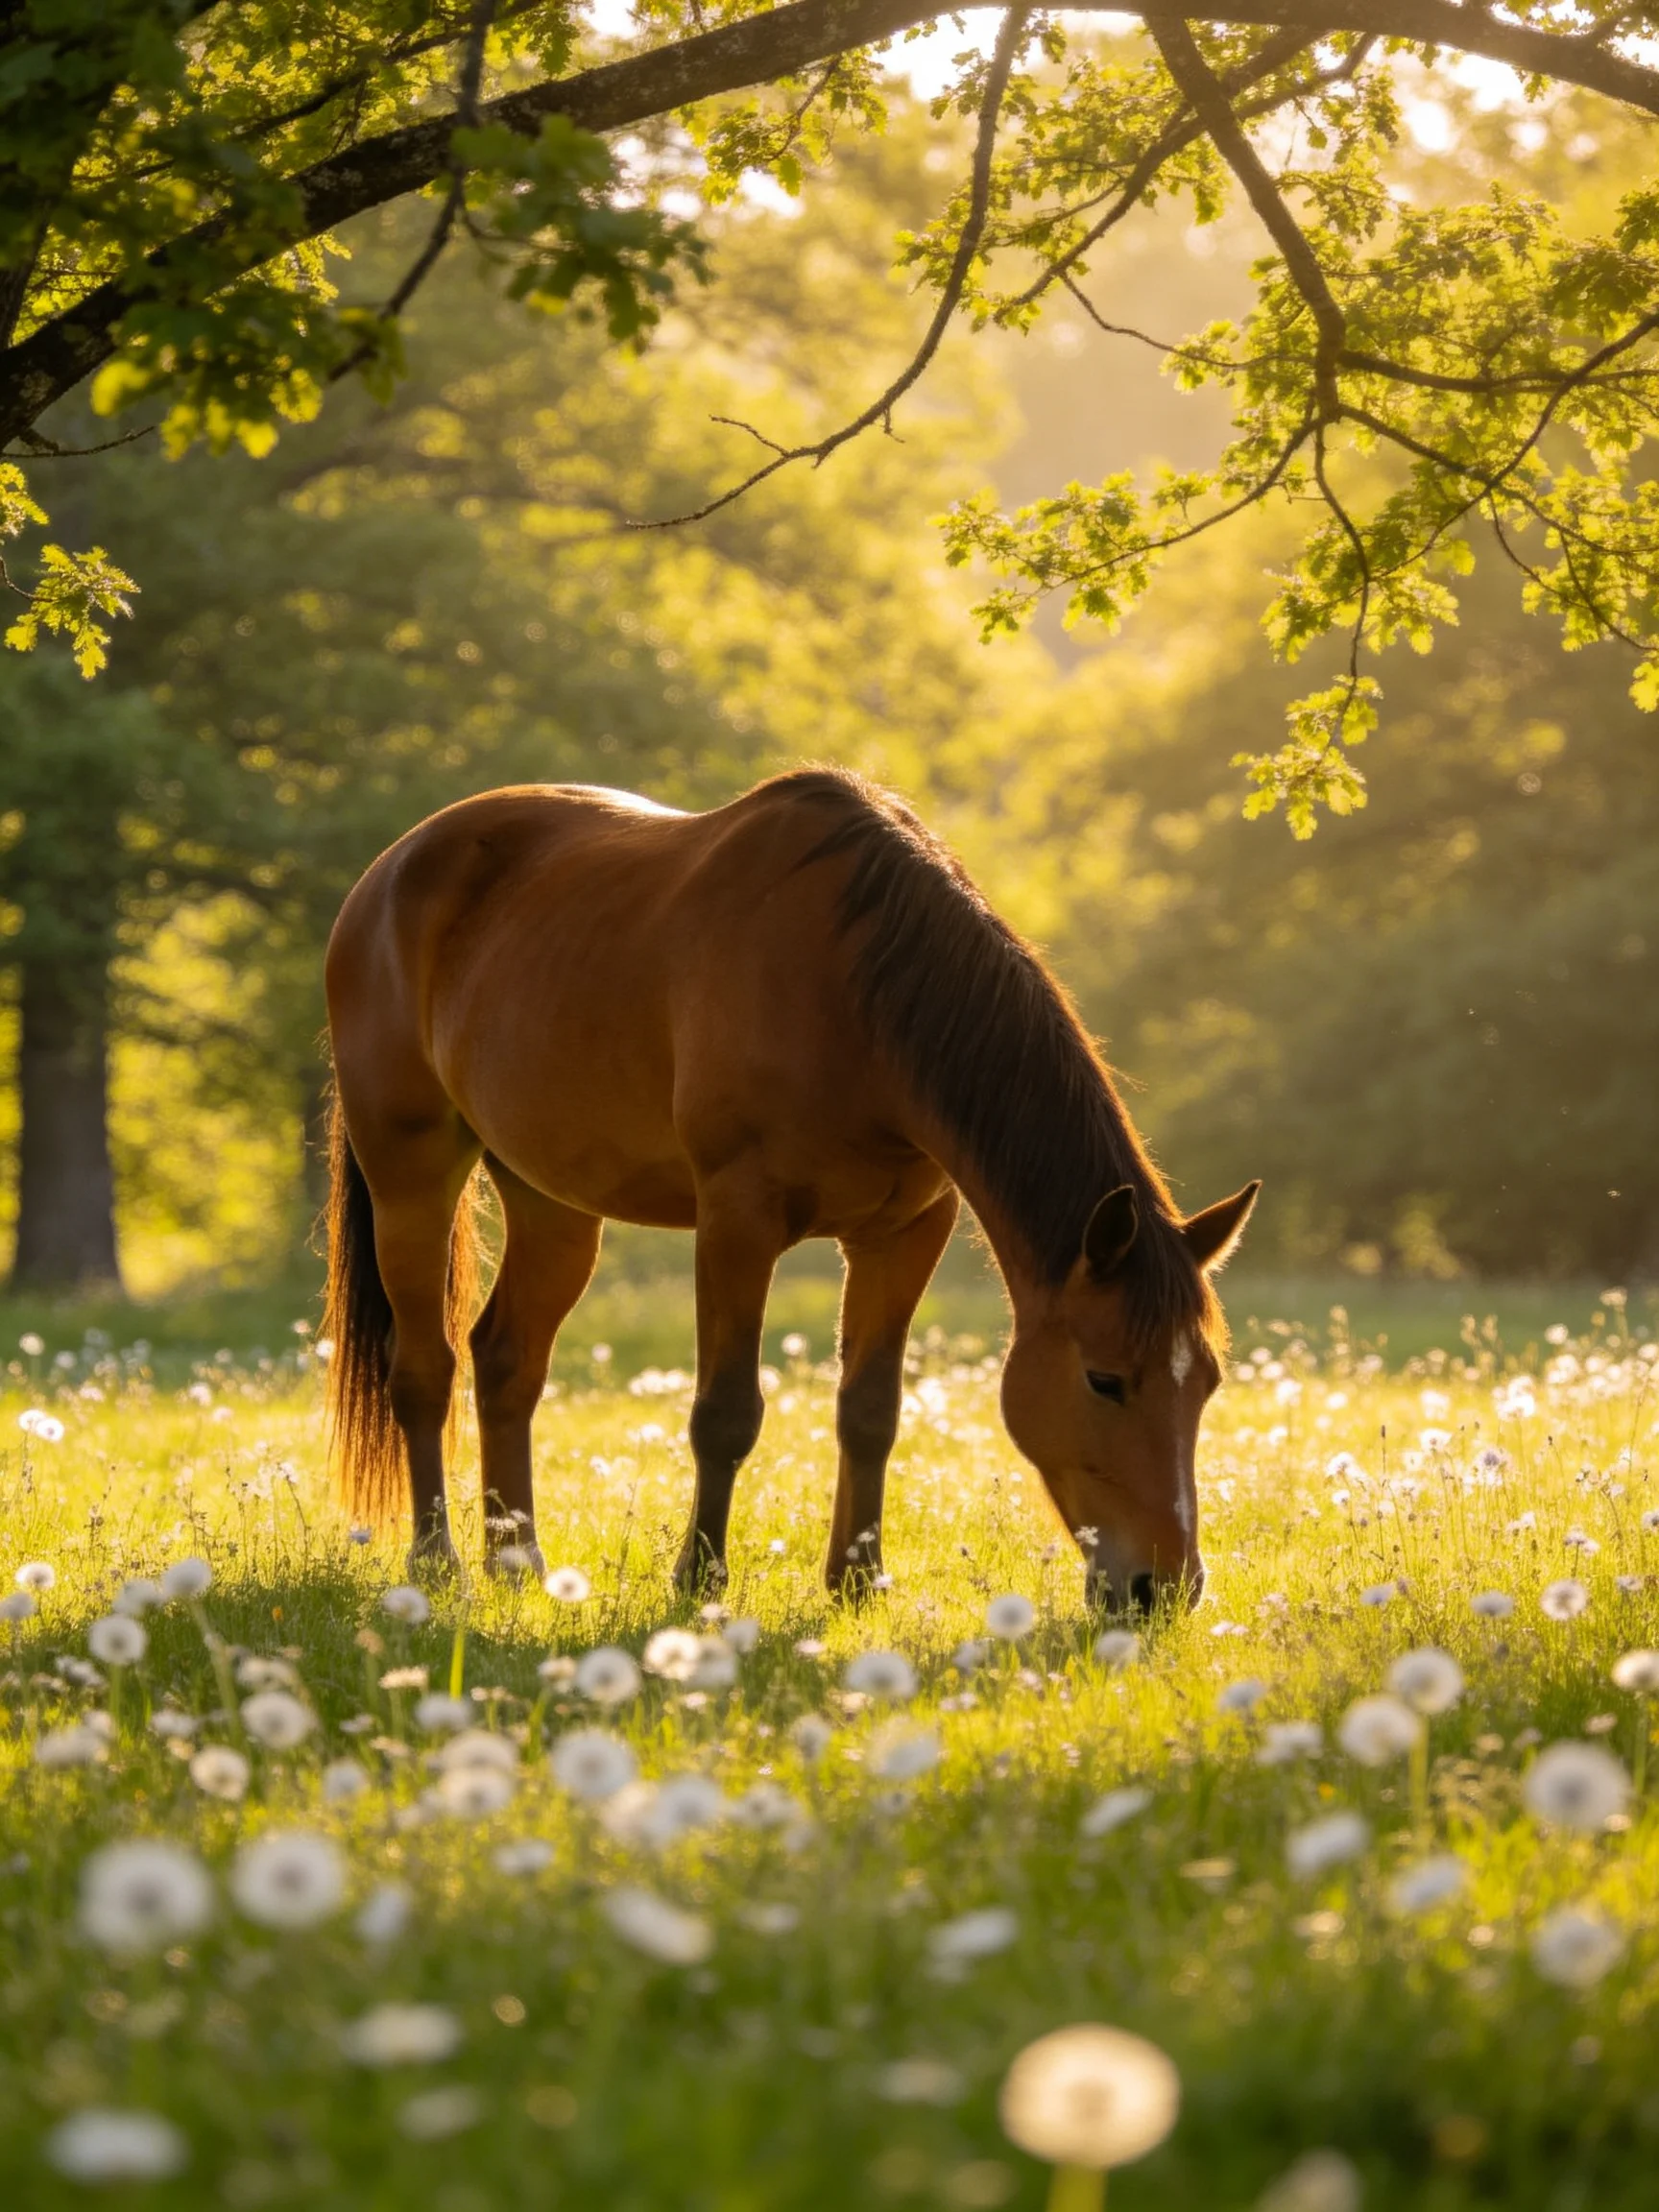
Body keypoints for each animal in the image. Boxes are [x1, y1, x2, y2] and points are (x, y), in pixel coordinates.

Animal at [322, 767, 1258, 1609]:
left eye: (1207, 1382)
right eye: (1105, 1379)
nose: (1162, 1589)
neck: (855, 993)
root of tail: (389, 872)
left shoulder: (904, 1232)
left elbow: (870, 1409)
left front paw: (857, 1580)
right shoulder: (738, 1222)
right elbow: (726, 1414)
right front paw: (700, 1583)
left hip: (552, 1202)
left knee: (506, 1361)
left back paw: (518, 1566)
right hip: (411, 1175)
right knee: (425, 1371)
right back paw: (436, 1563)